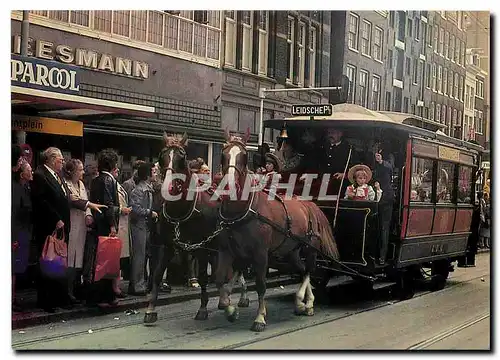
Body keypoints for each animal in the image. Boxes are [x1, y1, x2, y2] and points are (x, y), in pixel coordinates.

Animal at [143, 134, 248, 324]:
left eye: (182, 156)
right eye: (162, 156)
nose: (168, 187)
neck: (181, 209)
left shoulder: (201, 247)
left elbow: (203, 276)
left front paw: (203, 308)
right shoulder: (167, 246)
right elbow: (157, 274)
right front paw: (150, 309)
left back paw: (241, 297)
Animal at [215, 129, 340, 332]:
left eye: (244, 156)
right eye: (223, 155)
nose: (229, 185)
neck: (244, 211)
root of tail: (309, 204)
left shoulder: (260, 254)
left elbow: (260, 285)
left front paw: (259, 318)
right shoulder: (226, 250)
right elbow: (220, 280)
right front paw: (231, 310)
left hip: (310, 248)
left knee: (309, 270)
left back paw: (306, 303)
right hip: (292, 251)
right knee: (302, 269)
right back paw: (302, 304)